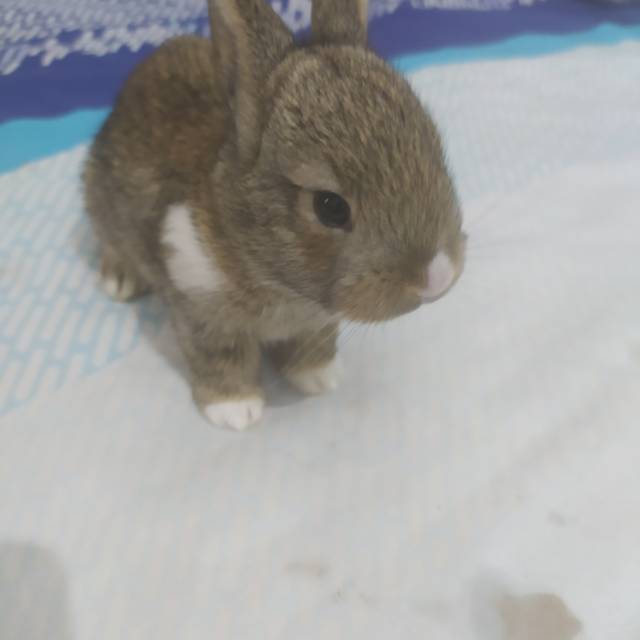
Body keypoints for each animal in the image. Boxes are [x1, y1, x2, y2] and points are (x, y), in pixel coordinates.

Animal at [83, 0, 466, 431]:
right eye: (330, 207)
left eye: (435, 149)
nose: (438, 276)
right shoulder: (201, 307)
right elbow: (221, 357)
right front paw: (236, 411)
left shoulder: (315, 321)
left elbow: (311, 344)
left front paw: (320, 378)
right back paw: (120, 281)